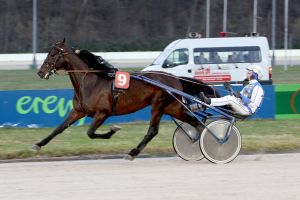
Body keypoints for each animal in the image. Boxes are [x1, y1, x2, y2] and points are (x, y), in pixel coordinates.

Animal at [34, 39, 218, 160]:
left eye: (53, 54)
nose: (40, 73)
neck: (91, 82)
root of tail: (175, 78)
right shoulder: (78, 111)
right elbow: (59, 128)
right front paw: (38, 144)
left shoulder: (103, 113)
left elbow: (90, 132)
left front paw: (113, 130)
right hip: (172, 107)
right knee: (194, 122)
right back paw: (196, 142)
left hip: (158, 104)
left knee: (153, 130)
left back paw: (132, 152)